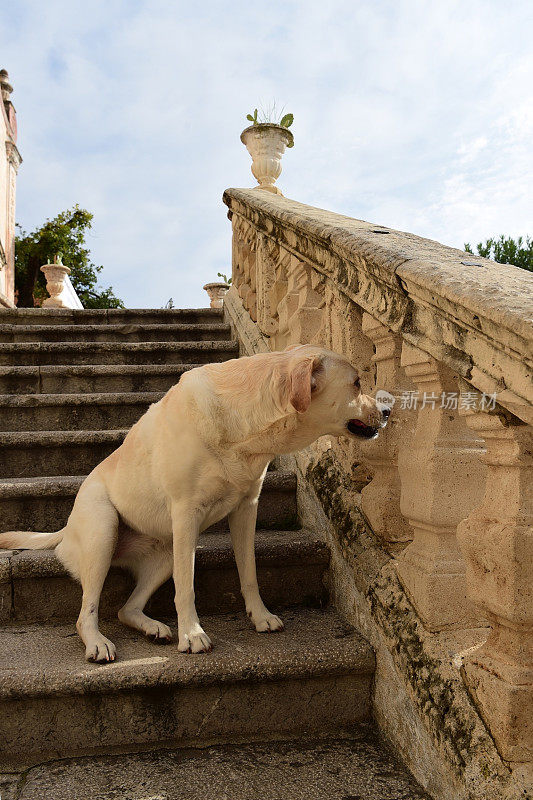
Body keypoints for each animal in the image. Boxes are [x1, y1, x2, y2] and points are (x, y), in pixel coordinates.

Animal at [0, 344, 390, 664]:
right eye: (357, 383)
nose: (387, 410)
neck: (246, 425)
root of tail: (65, 529)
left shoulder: (247, 507)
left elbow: (249, 572)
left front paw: (260, 616)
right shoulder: (186, 512)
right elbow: (185, 588)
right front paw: (192, 634)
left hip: (167, 552)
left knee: (127, 609)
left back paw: (152, 627)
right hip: (104, 530)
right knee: (87, 614)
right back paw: (98, 643)